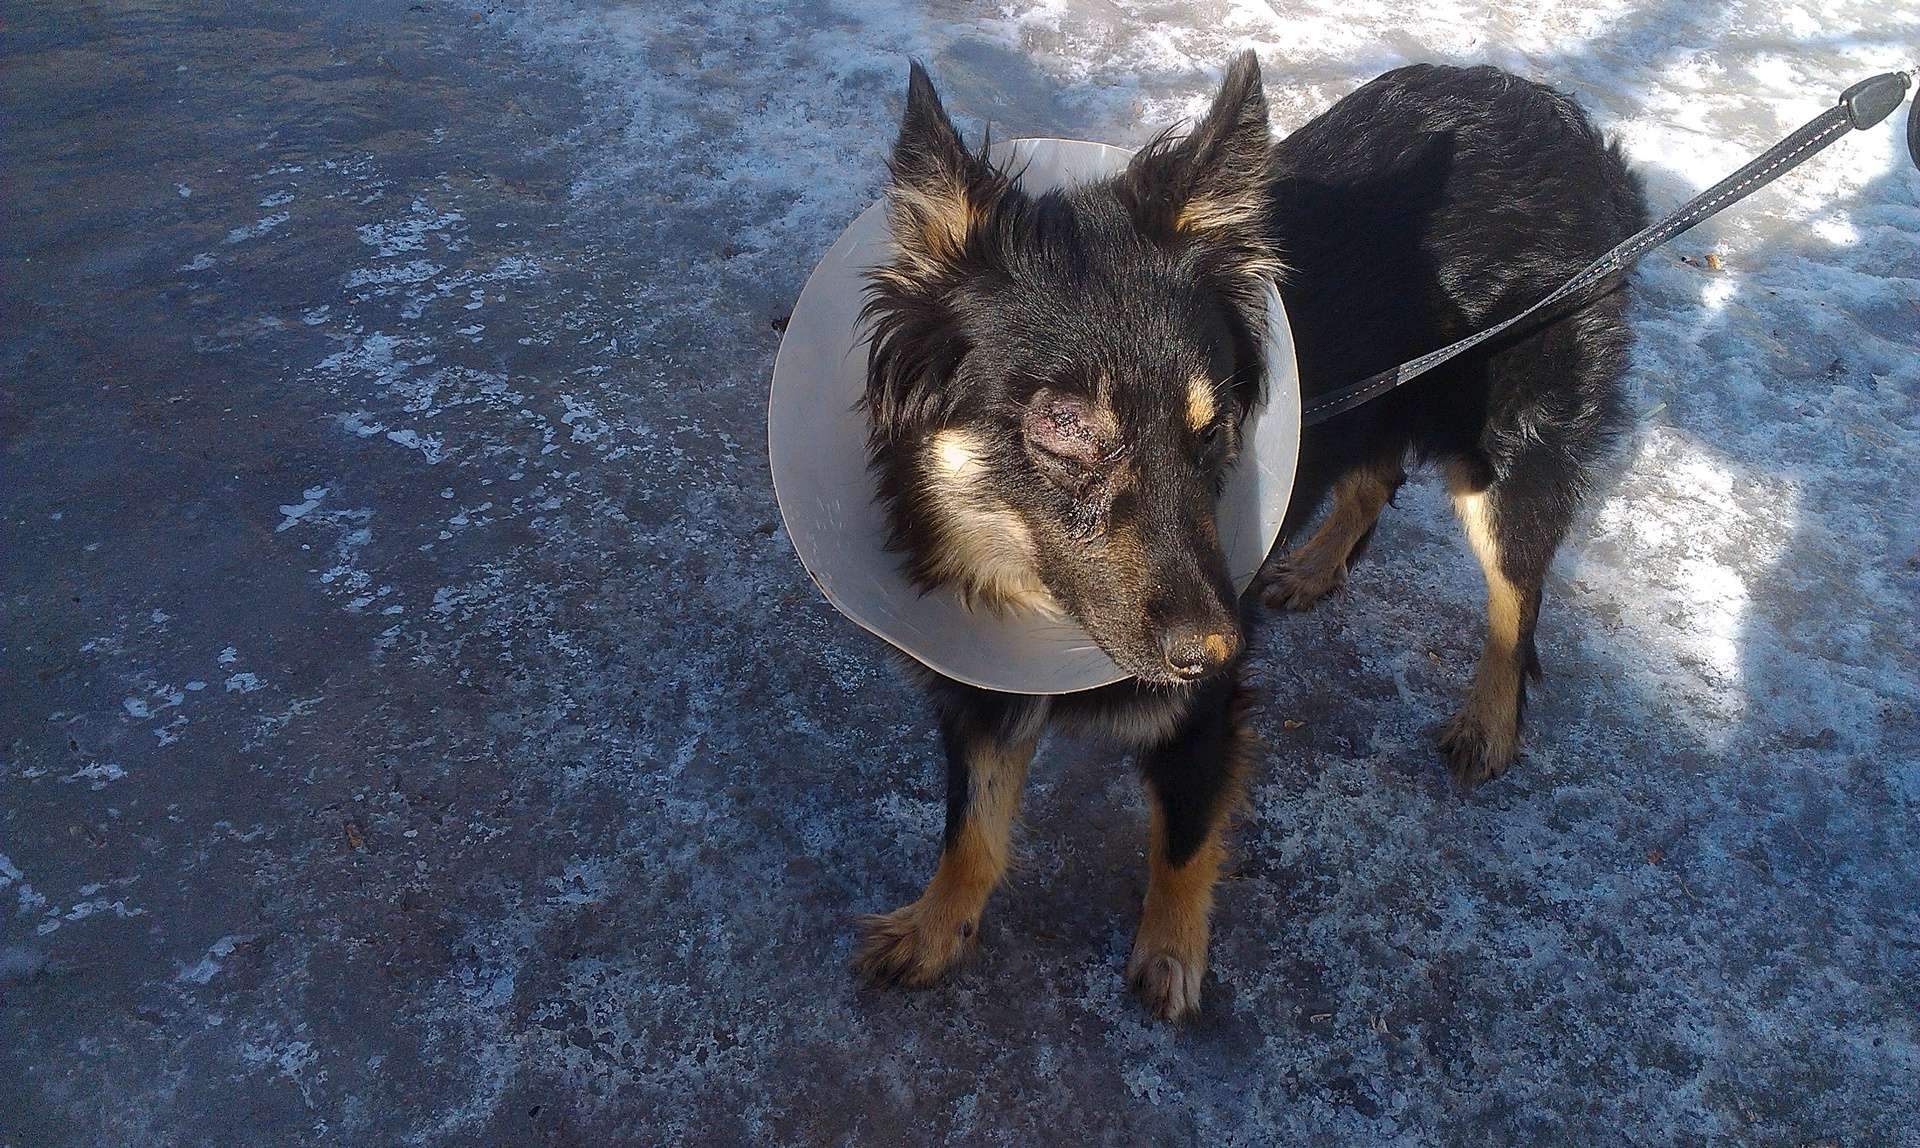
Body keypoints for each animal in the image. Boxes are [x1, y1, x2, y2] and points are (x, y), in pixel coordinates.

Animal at [850, 51, 1647, 1019]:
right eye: (1065, 426)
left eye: (1215, 427)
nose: (1215, 646)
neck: (1038, 601)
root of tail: (1575, 131)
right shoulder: (981, 686)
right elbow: (970, 825)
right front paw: (936, 930)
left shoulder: (1204, 712)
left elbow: (1185, 837)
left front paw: (1169, 954)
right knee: (1375, 475)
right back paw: (1312, 568)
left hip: (1504, 453)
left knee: (1516, 589)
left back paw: (1490, 722)